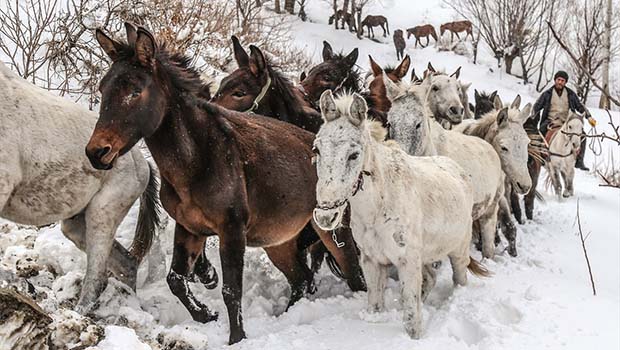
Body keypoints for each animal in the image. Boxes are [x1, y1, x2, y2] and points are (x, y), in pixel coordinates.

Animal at [86, 24, 364, 344]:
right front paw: (206, 314)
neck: (198, 159)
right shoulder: (190, 228)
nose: (97, 152)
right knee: (302, 280)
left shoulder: (232, 231)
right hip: (280, 242)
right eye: (103, 89)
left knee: (353, 273)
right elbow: (176, 280)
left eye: (134, 91)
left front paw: (237, 338)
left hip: (332, 230)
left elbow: (232, 291)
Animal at [312, 90, 486, 340]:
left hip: (459, 251)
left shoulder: (407, 261)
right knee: (431, 278)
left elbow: (411, 314)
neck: (380, 205)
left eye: (354, 155)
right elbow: (376, 305)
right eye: (316, 150)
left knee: (459, 278)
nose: (326, 216)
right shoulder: (372, 261)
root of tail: (458, 169)